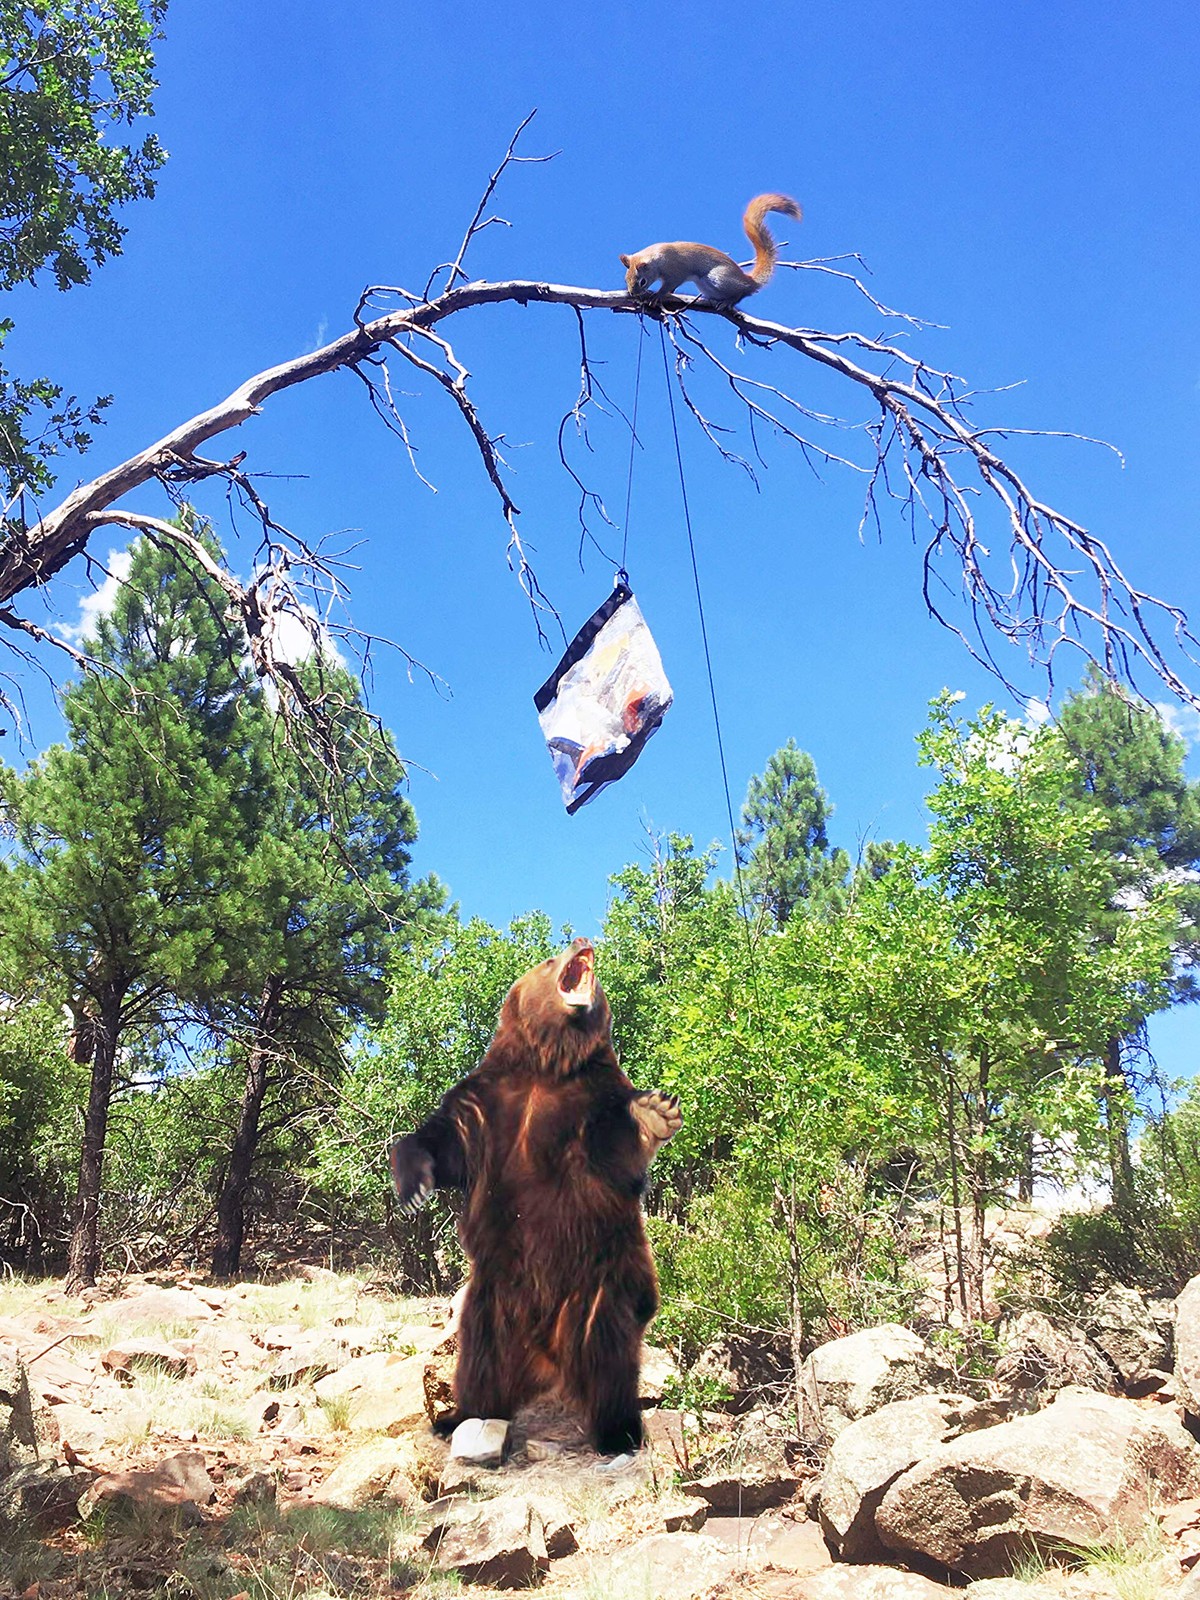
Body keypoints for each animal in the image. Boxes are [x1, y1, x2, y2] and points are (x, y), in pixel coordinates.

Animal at [389, 935, 681, 1455]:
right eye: (550, 959)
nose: (582, 941)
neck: (550, 1063)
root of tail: (547, 1356)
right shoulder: (488, 1101)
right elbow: (443, 1140)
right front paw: (413, 1185)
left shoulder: (593, 1099)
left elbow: (616, 1153)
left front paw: (654, 1113)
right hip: (493, 1298)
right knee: (478, 1356)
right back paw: (462, 1416)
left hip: (599, 1286)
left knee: (609, 1358)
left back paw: (618, 1432)